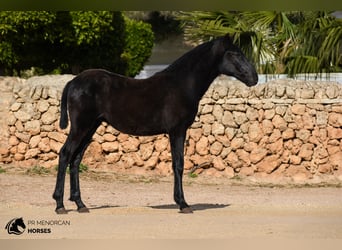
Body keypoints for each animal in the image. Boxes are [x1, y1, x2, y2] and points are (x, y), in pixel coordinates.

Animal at [52, 33, 256, 214]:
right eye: (235, 53)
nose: (254, 78)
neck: (181, 85)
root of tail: (73, 82)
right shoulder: (177, 131)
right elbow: (178, 165)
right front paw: (183, 204)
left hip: (90, 127)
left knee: (75, 159)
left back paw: (80, 204)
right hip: (81, 127)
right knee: (65, 154)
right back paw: (60, 205)